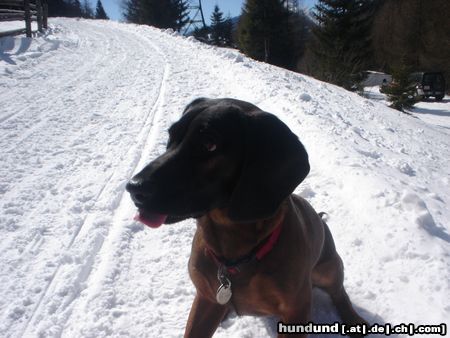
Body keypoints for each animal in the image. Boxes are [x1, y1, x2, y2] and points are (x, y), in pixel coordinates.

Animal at [125, 97, 366, 336]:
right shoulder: (205, 299)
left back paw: (353, 319)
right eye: (171, 137)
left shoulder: (295, 310)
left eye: (209, 144)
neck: (233, 255)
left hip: (329, 268)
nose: (133, 187)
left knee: (339, 293)